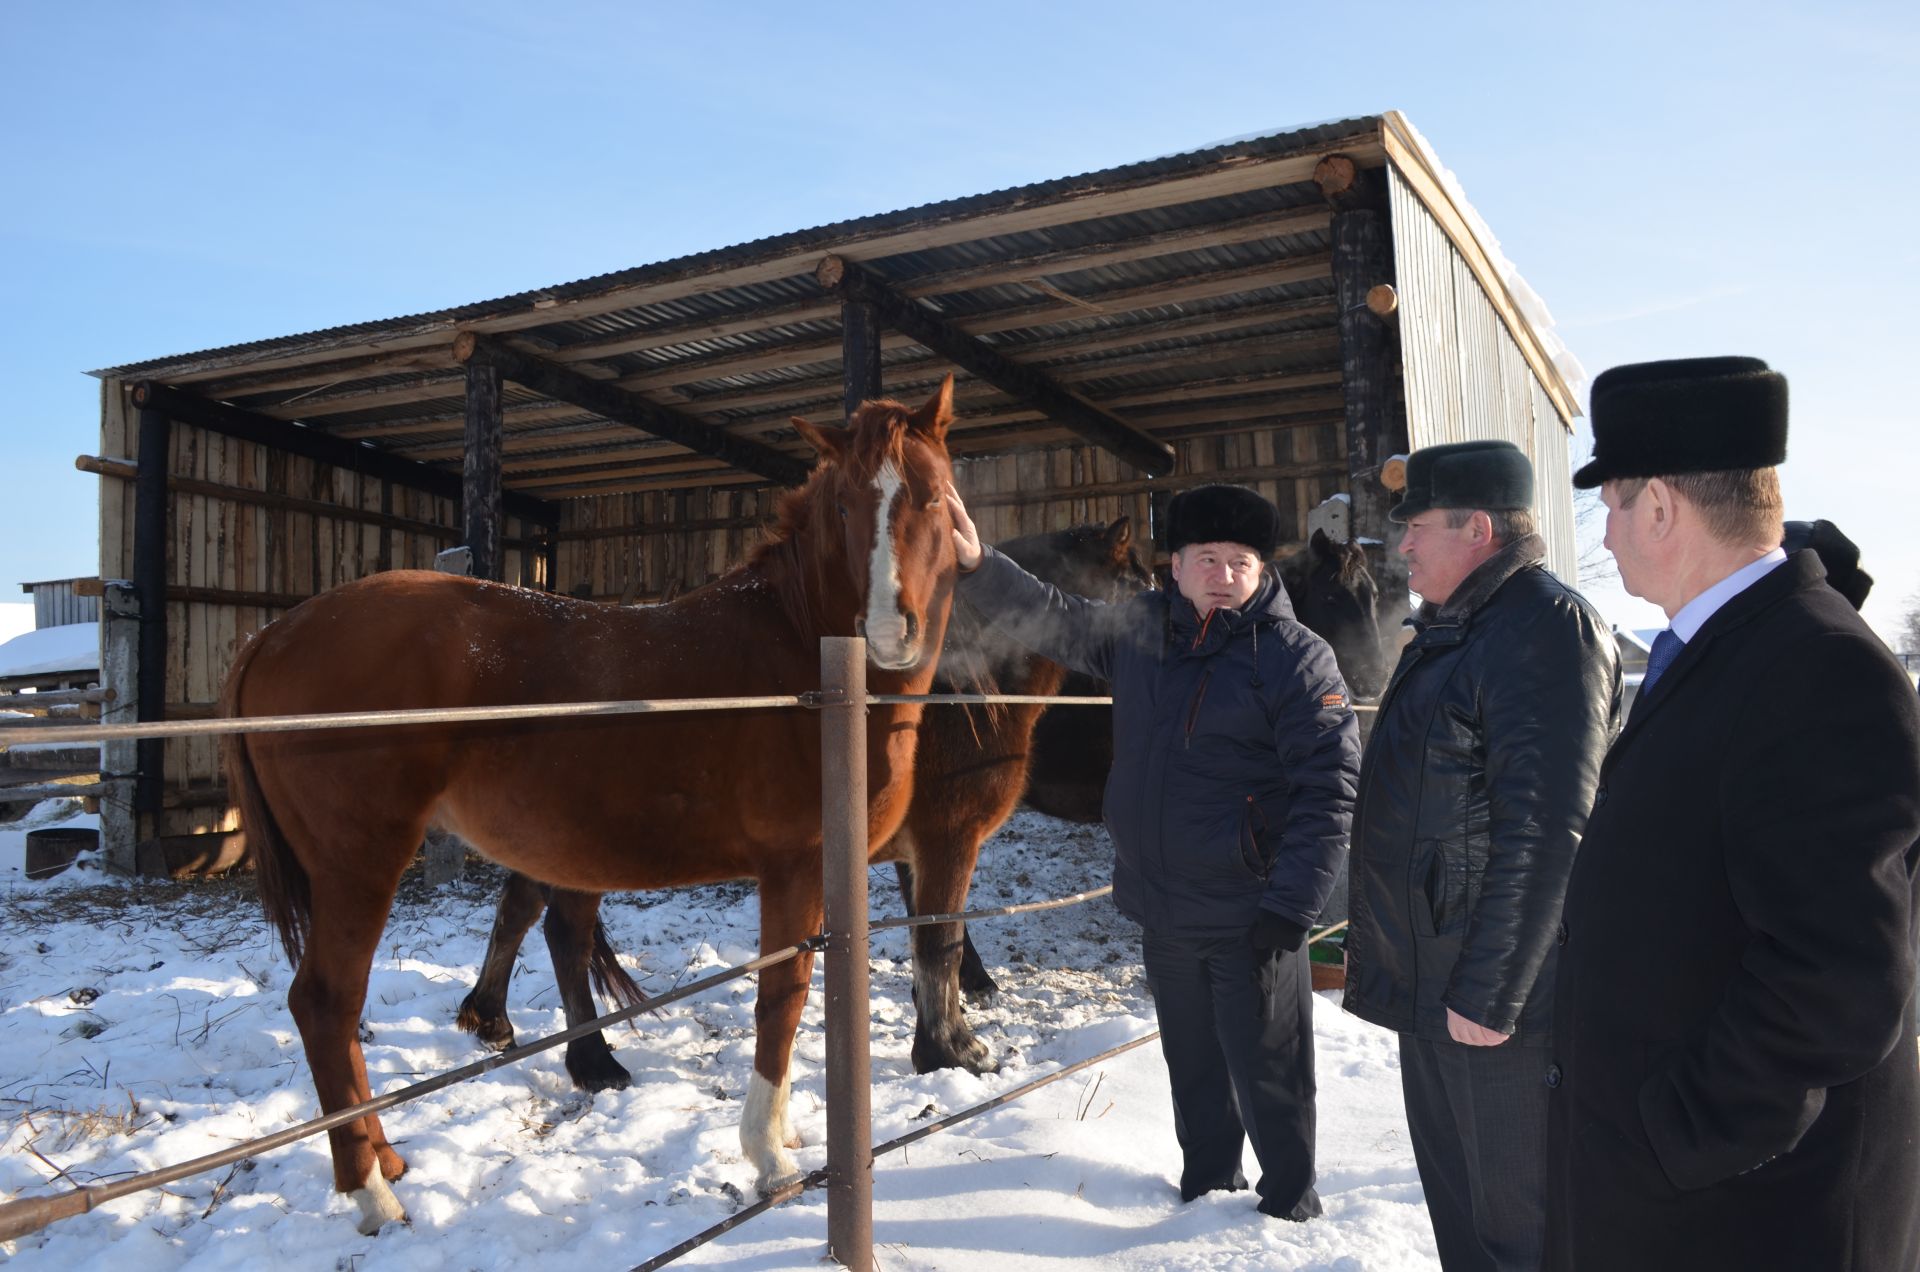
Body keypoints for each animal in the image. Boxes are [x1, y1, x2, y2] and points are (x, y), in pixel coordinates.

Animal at [224, 378, 960, 1237]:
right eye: (845, 505)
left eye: (932, 494)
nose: (889, 631)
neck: (800, 651)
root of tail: (272, 634)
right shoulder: (794, 866)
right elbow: (782, 997)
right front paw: (769, 1158)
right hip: (360, 865)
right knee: (325, 1004)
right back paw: (372, 1193)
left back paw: (389, 1160)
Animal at [455, 522, 1144, 1091]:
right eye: (1140, 582)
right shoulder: (949, 837)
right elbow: (940, 940)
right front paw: (956, 1053)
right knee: (565, 933)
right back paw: (595, 1064)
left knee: (520, 907)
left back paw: (492, 1019)